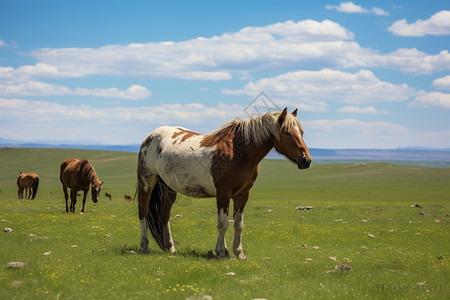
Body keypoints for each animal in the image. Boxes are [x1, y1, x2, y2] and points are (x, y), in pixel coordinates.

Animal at [137, 108, 312, 258]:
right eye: (287, 132)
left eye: (302, 132)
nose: (306, 160)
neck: (238, 153)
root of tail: (151, 136)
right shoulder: (223, 193)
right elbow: (223, 223)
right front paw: (221, 252)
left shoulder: (242, 194)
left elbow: (238, 224)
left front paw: (238, 253)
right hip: (147, 182)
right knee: (143, 212)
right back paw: (145, 246)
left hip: (169, 187)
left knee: (164, 216)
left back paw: (170, 248)